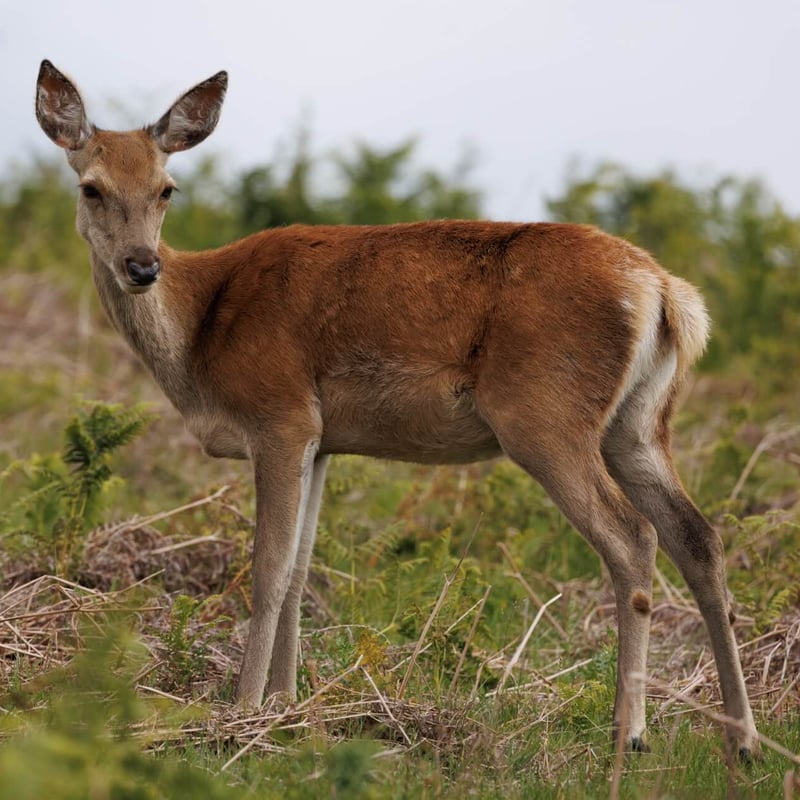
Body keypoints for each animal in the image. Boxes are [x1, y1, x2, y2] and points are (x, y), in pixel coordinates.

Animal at [34, 59, 758, 759]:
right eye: (91, 187)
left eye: (167, 188)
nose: (141, 266)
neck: (200, 334)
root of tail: (665, 292)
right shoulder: (322, 439)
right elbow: (301, 571)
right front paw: (288, 706)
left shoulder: (279, 413)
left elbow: (268, 569)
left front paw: (241, 712)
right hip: (638, 425)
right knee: (699, 536)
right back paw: (741, 740)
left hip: (547, 415)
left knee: (633, 536)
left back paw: (629, 734)